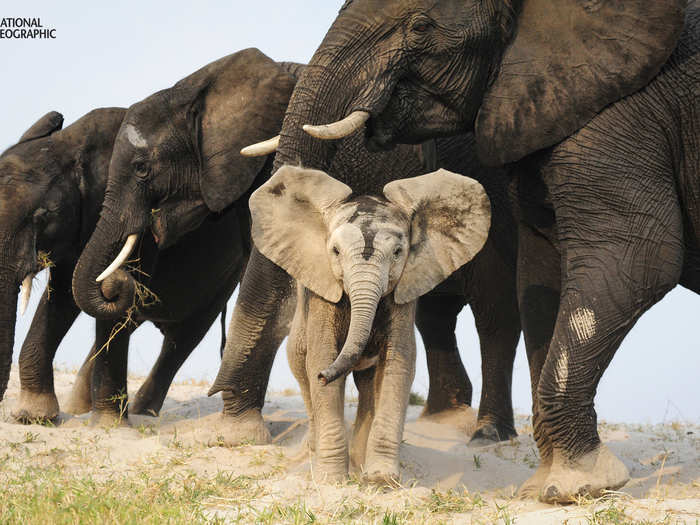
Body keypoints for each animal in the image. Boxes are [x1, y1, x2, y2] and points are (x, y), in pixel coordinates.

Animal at [249, 165, 490, 484]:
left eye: (398, 252)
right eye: (335, 252)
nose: (324, 377)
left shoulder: (403, 292)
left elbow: (397, 365)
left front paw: (381, 480)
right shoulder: (323, 295)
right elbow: (321, 356)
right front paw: (332, 482)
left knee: (367, 387)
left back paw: (359, 461)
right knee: (302, 370)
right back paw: (314, 455)